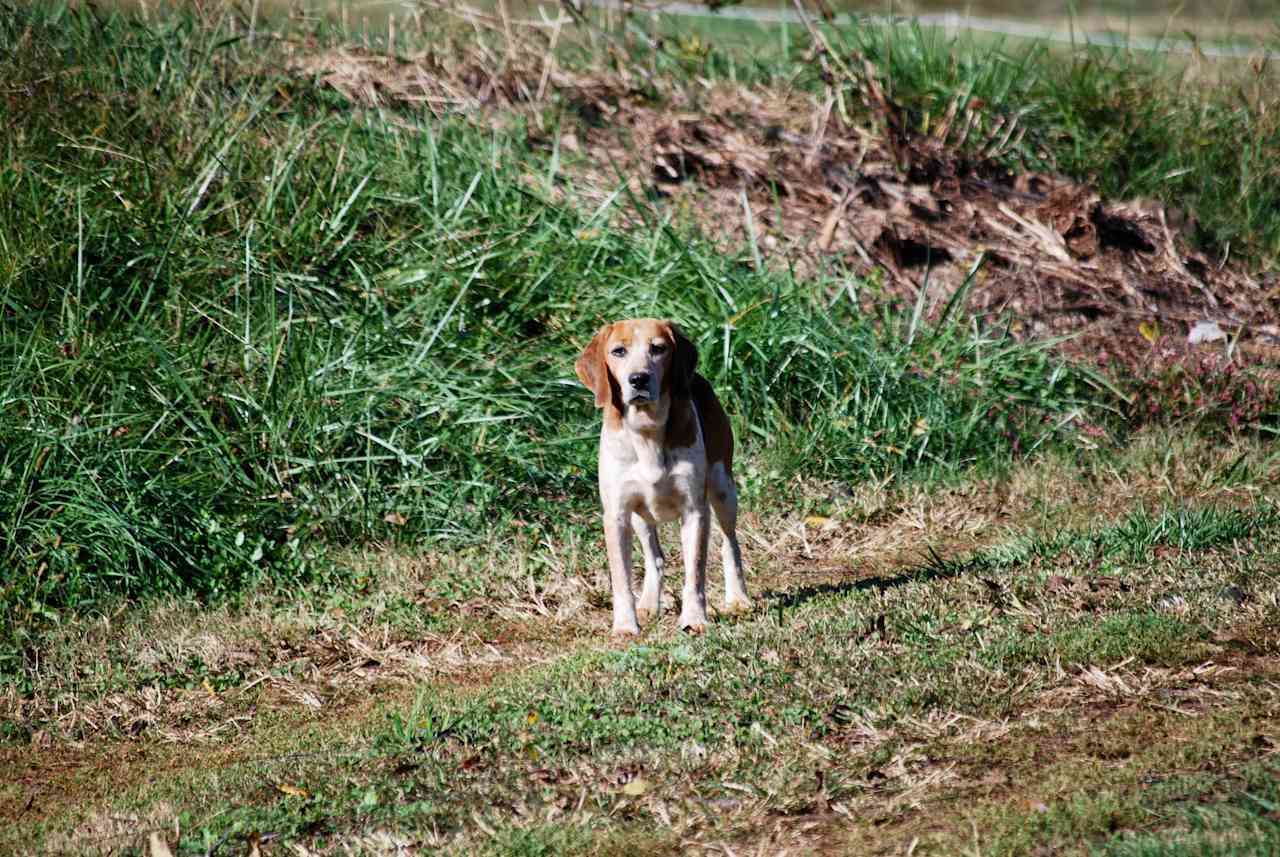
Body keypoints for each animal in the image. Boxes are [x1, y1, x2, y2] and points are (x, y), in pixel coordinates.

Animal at [573, 318, 747, 634]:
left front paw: (694, 618)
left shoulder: (695, 511)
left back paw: (738, 598)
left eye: (658, 348)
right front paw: (625, 625)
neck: (646, 431)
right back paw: (648, 603)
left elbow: (695, 574)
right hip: (640, 518)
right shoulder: (617, 515)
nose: (638, 379)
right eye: (618, 351)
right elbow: (621, 580)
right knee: (655, 558)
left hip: (723, 490)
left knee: (731, 544)